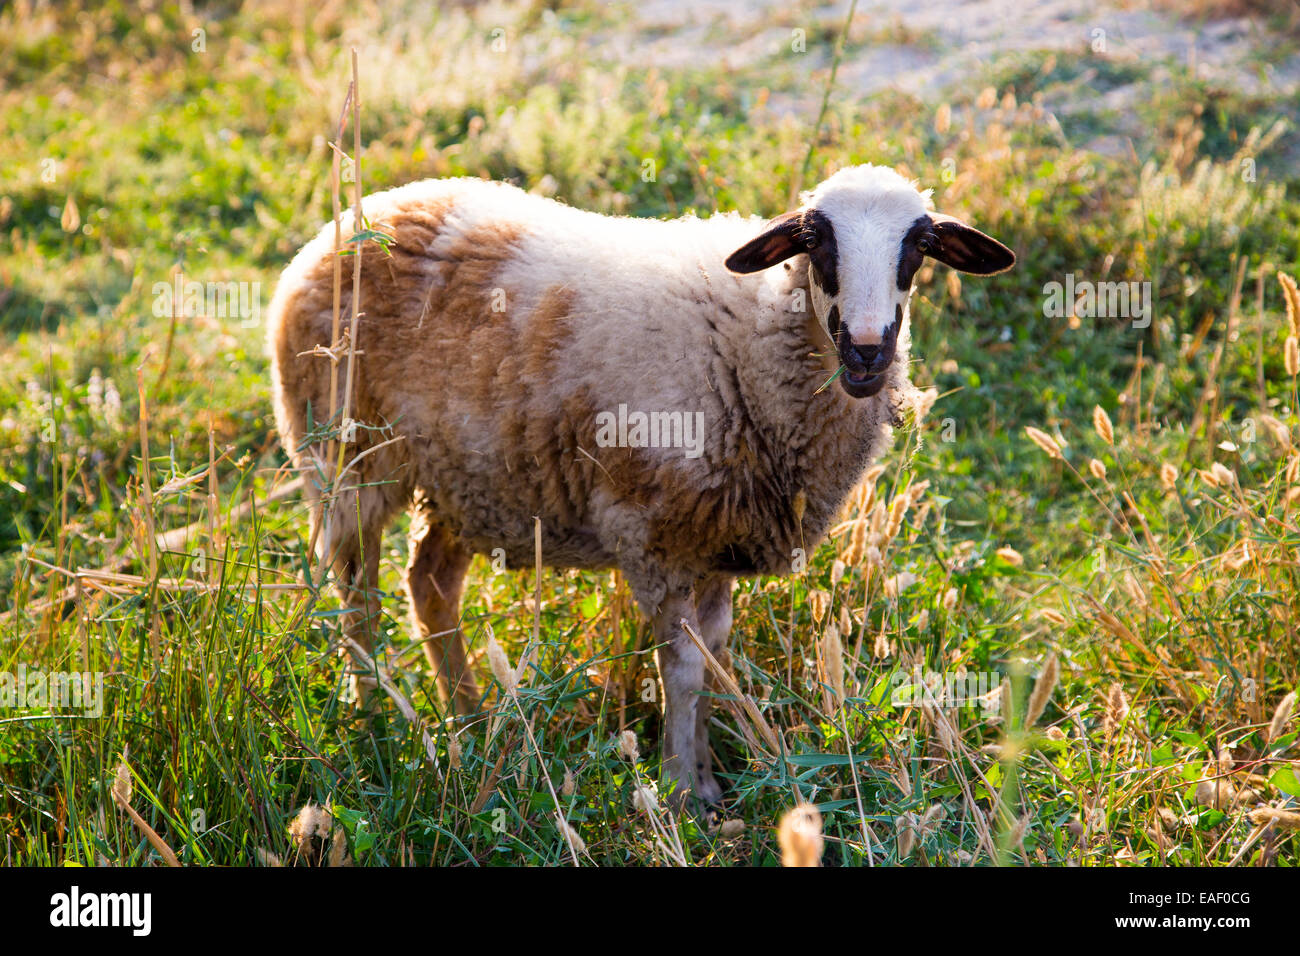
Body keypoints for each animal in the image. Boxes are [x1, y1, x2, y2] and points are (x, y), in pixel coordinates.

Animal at [266, 164, 1013, 806]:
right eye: (814, 240)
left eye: (918, 247)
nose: (866, 351)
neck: (746, 342)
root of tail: (356, 216)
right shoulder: (651, 535)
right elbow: (681, 668)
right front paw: (683, 793)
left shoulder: (715, 538)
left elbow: (714, 655)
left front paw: (706, 777)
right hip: (344, 458)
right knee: (357, 597)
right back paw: (377, 719)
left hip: (467, 478)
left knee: (429, 583)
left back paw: (471, 722)